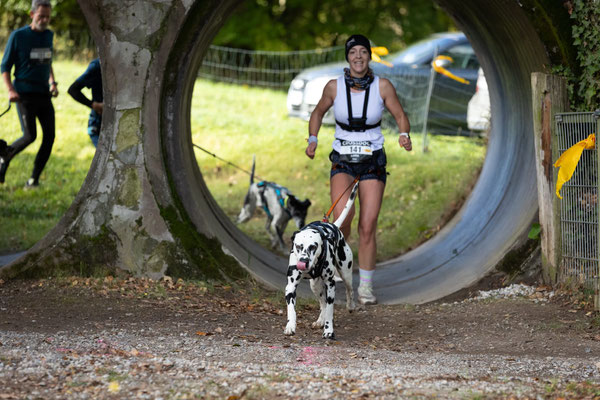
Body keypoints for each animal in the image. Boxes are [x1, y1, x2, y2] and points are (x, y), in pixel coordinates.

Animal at [284, 182, 358, 340]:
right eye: (298, 246)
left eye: (313, 246)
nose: (303, 261)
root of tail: (334, 225)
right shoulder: (290, 287)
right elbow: (291, 309)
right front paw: (290, 326)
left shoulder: (331, 285)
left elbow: (330, 310)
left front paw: (329, 330)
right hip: (315, 286)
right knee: (322, 302)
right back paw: (320, 320)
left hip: (345, 273)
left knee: (349, 290)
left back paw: (350, 306)